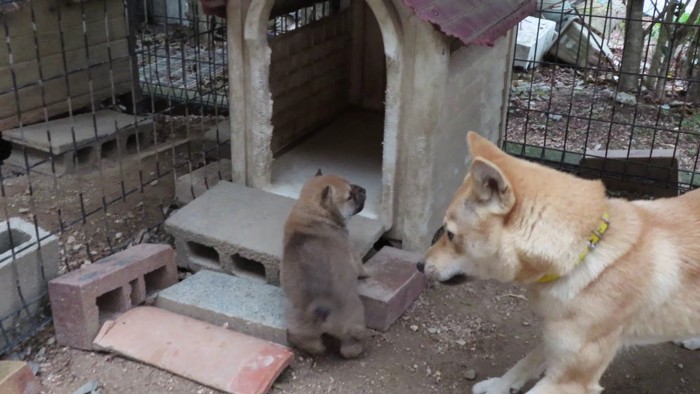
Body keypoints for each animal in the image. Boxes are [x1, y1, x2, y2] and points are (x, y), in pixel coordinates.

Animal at [280, 169, 370, 358]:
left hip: (300, 326)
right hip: (354, 319)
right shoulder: (352, 251)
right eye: (349, 195)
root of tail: (321, 306)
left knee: (309, 342)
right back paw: (356, 349)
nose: (364, 190)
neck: (312, 211)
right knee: (350, 346)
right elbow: (361, 267)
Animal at [422, 131, 700, 392]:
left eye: (450, 234)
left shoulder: (571, 380)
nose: (419, 265)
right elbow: (526, 361)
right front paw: (499, 386)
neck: (584, 256)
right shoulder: (557, 339)